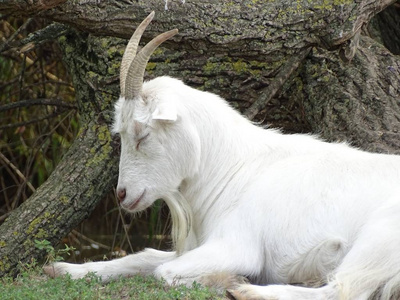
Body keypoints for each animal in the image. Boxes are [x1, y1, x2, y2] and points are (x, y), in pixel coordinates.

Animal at [45, 11, 400, 300]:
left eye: (142, 134)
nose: (122, 194)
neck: (235, 167)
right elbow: (144, 256)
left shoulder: (235, 245)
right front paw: (65, 269)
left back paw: (246, 290)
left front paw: (226, 279)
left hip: (377, 239)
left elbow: (164, 273)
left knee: (342, 289)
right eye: (119, 133)